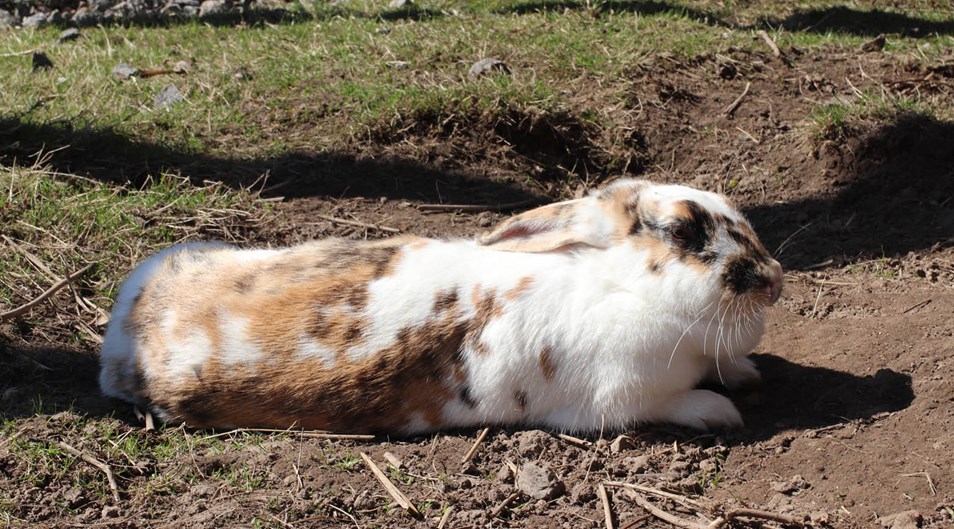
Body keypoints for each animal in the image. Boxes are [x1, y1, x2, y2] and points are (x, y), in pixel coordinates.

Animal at [98, 178, 780, 434]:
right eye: (683, 232)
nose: (773, 280)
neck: (624, 286)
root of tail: (122, 337)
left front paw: (747, 373)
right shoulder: (622, 399)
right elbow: (679, 404)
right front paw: (721, 411)